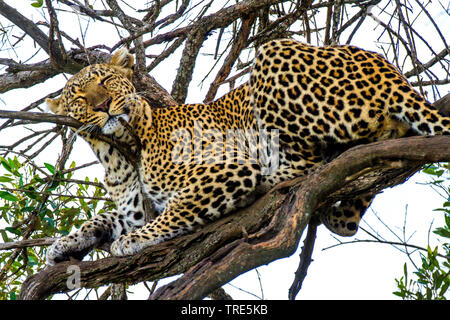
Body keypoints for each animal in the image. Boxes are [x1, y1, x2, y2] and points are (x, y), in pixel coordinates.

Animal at [44, 37, 446, 262]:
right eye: (79, 97)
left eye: (106, 80)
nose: (103, 105)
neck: (117, 152)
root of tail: (391, 72)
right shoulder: (136, 207)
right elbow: (102, 218)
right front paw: (63, 245)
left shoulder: (226, 169)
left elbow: (174, 212)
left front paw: (132, 242)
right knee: (347, 213)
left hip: (272, 55)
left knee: (306, 165)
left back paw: (271, 181)